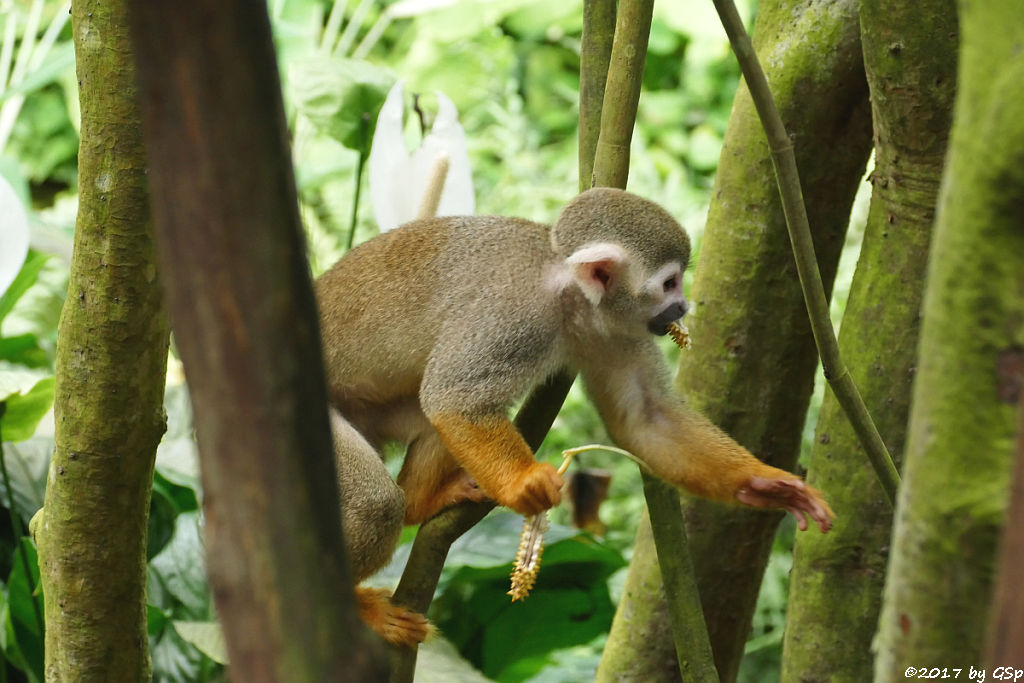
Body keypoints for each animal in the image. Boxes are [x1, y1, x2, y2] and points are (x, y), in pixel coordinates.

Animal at [315, 187, 835, 647]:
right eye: (669, 283)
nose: (682, 307)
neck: (564, 289)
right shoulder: (514, 317)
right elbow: (454, 397)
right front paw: (524, 483)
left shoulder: (615, 327)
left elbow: (645, 418)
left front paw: (766, 485)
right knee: (378, 501)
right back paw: (360, 606)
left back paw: (422, 502)